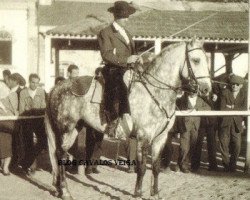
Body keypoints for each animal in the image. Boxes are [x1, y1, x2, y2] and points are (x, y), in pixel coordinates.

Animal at [44, 38, 211, 199]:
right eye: (196, 60)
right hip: (66, 128)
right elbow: (142, 168)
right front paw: (138, 193)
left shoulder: (160, 138)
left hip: (75, 128)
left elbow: (155, 167)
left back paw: (59, 189)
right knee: (60, 155)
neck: (155, 92)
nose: (206, 89)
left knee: (60, 154)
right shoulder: (144, 137)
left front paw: (155, 194)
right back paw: (65, 192)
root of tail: (56, 88)